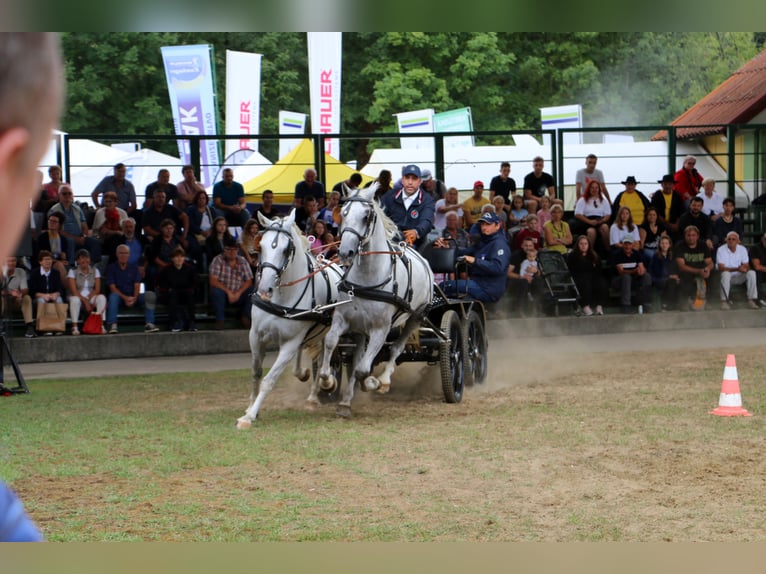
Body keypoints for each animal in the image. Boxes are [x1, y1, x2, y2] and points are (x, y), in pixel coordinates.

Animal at [234, 209, 342, 430]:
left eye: (286, 250)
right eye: (261, 245)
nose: (265, 289)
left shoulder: (289, 343)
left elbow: (269, 379)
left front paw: (250, 417)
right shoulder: (255, 336)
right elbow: (256, 373)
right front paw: (250, 408)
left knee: (325, 354)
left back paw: (323, 385)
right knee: (313, 358)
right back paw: (307, 381)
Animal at [316, 186, 436, 418]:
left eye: (366, 216)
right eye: (343, 213)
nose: (345, 252)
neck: (367, 279)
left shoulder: (380, 329)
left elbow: (363, 369)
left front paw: (372, 383)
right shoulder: (342, 319)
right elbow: (331, 342)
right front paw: (327, 381)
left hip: (415, 317)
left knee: (396, 348)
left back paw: (384, 381)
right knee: (357, 357)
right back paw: (345, 402)